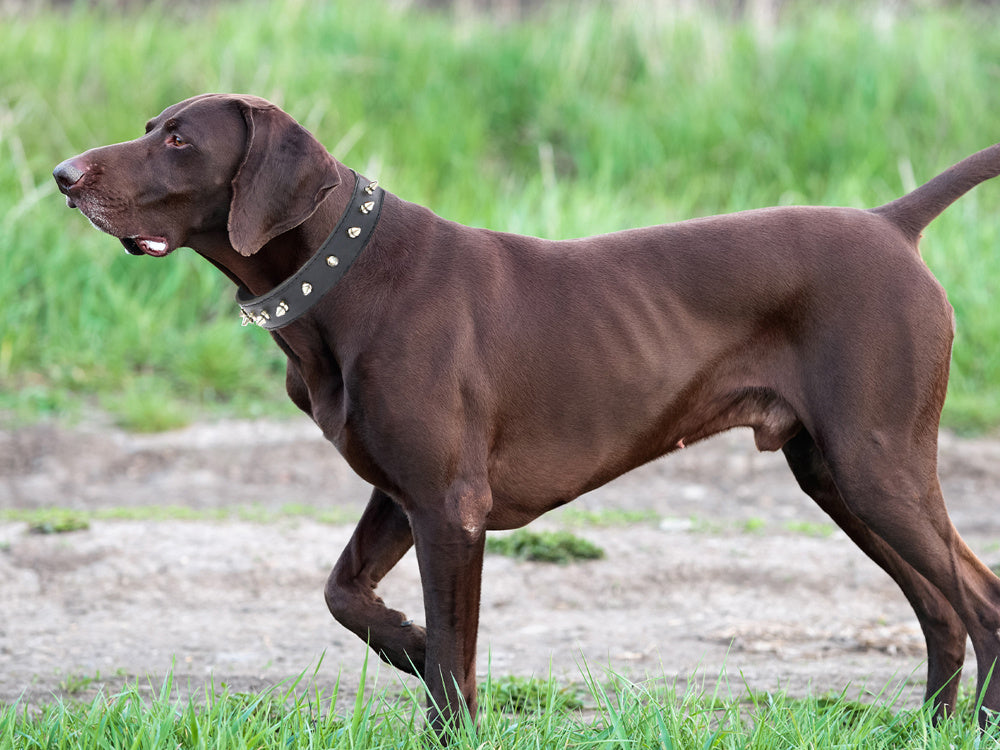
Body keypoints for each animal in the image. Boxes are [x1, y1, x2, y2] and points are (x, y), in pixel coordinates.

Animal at [52, 95, 1000, 736]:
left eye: (179, 140)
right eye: (150, 125)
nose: (63, 178)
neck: (346, 276)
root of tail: (891, 223)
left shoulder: (449, 509)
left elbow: (451, 662)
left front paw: (440, 694)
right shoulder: (400, 496)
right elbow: (347, 594)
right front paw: (403, 641)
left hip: (877, 466)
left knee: (980, 603)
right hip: (833, 473)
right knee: (942, 608)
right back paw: (931, 727)